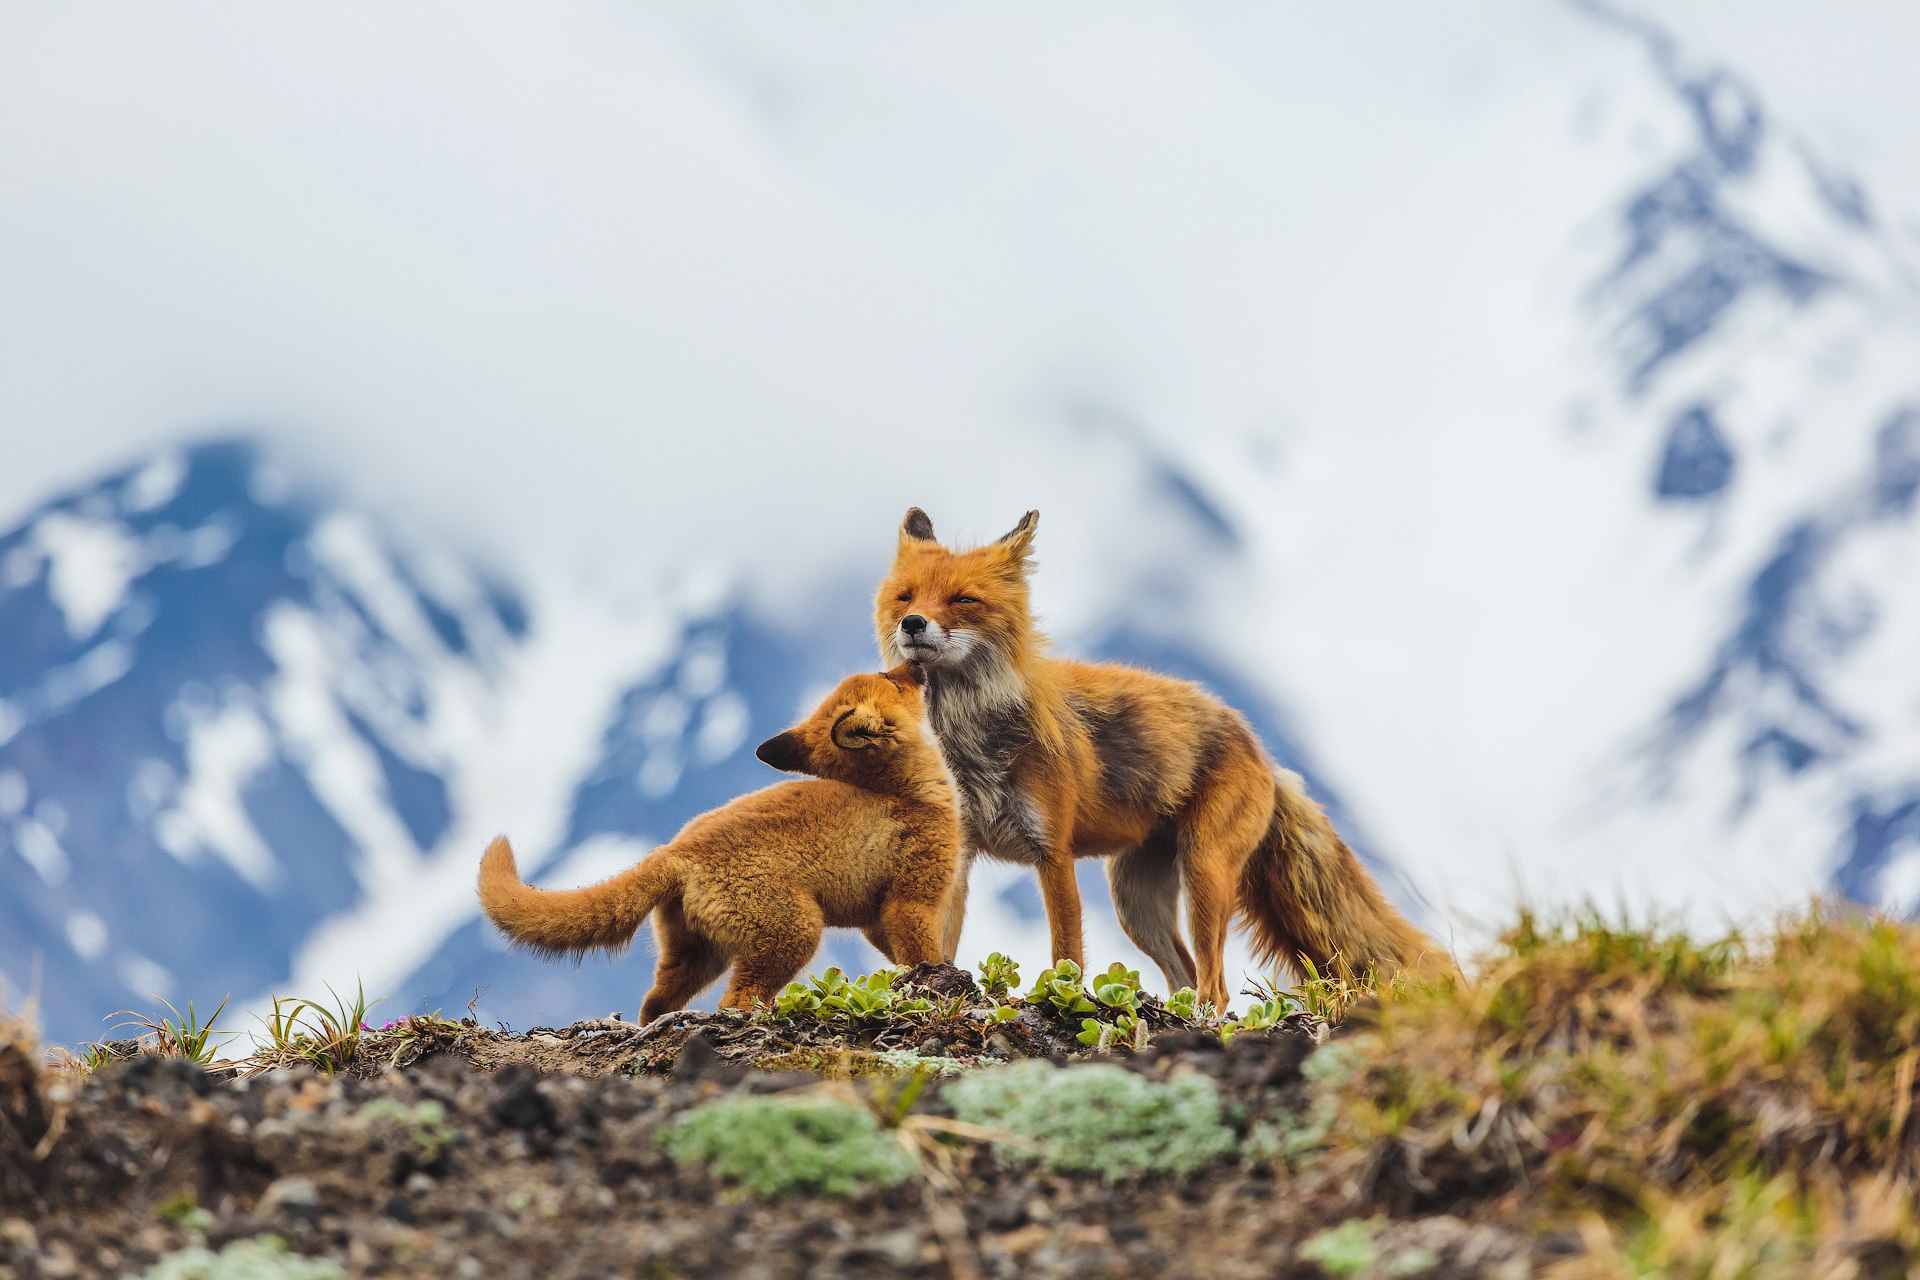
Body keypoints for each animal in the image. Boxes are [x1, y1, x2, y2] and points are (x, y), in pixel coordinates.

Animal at [480, 671, 960, 1020]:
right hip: (794, 935)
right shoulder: (910, 900)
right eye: (892, 679)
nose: (915, 662)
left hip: (697, 955)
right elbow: (923, 957)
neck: (903, 792)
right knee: (735, 1001)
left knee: (653, 1003)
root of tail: (677, 850)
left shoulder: (876, 920)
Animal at [875, 510, 1443, 1013]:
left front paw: (1056, 999)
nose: (913, 623)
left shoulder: (1053, 853)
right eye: (905, 596)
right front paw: (935, 986)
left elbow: (1066, 956)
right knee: (1186, 975)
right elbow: (942, 943)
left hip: (1204, 873)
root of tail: (1260, 749)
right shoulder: (962, 849)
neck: (973, 742)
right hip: (1136, 904)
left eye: (963, 599)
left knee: (1215, 986)